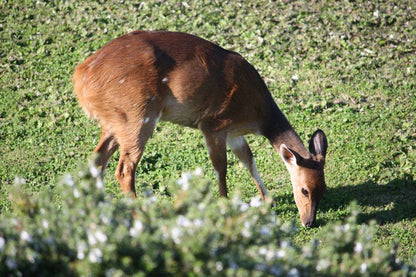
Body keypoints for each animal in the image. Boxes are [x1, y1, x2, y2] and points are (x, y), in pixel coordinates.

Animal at [74, 30, 328, 226]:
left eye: (323, 189)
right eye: (305, 190)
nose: (309, 222)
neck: (258, 112)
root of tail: (81, 76)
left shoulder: (234, 133)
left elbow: (248, 159)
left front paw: (267, 200)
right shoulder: (214, 124)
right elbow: (221, 167)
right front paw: (225, 205)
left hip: (115, 122)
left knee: (97, 160)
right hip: (138, 117)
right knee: (124, 169)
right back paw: (139, 217)